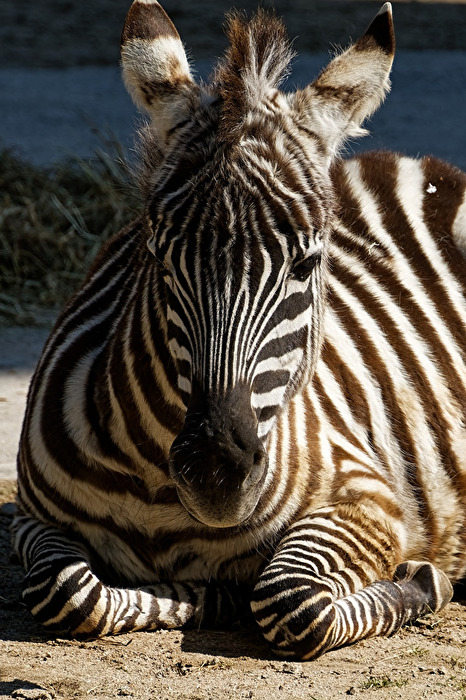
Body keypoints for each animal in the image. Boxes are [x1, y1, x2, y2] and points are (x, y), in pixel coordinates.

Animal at [12, 0, 466, 661]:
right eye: (158, 254)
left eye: (308, 263)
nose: (215, 471)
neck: (161, 498)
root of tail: (426, 166)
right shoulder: (32, 517)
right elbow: (68, 591)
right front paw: (207, 596)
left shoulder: (369, 497)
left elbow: (292, 601)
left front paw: (421, 583)